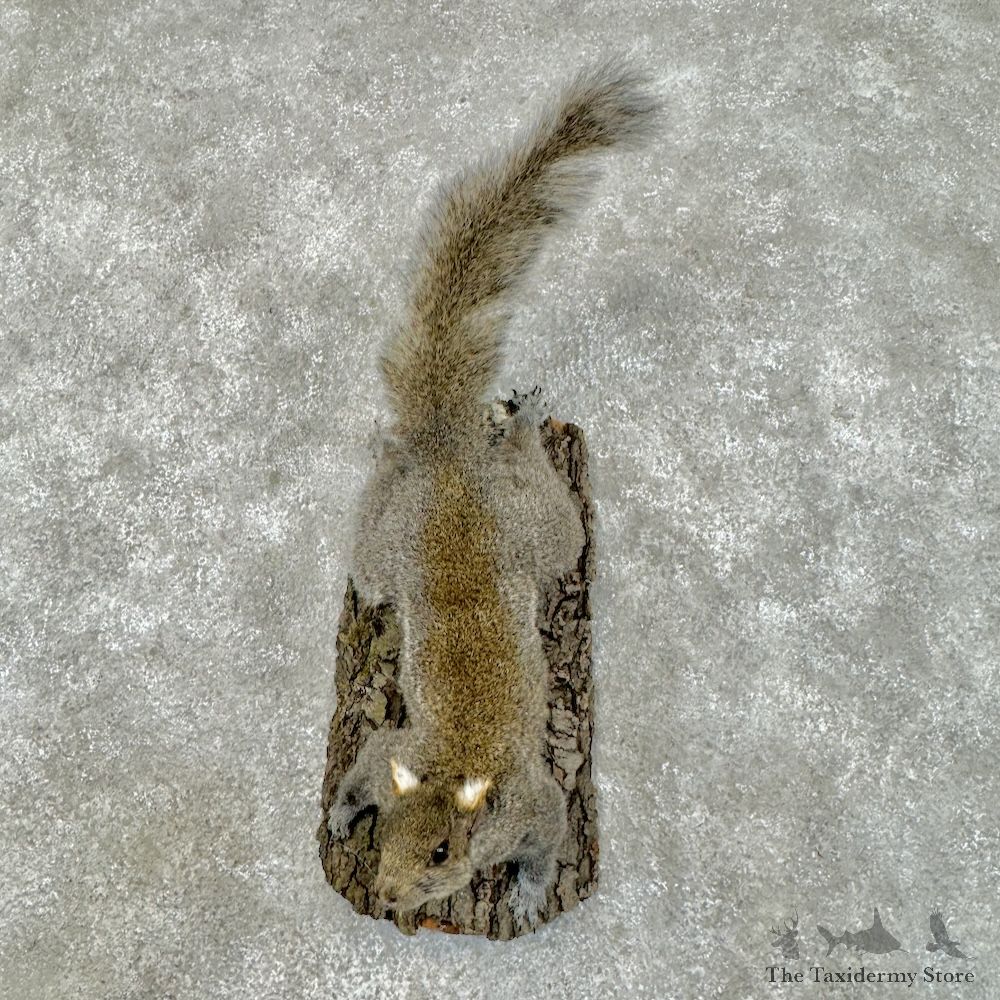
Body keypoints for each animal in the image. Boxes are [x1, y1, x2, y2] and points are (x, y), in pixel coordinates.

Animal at [327, 62, 657, 926]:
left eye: (444, 853)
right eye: (389, 833)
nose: (388, 893)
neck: (453, 767)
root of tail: (450, 460)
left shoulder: (541, 804)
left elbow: (548, 842)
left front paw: (531, 892)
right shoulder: (392, 749)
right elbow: (364, 765)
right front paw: (342, 808)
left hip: (543, 537)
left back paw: (523, 427)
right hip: (392, 553)